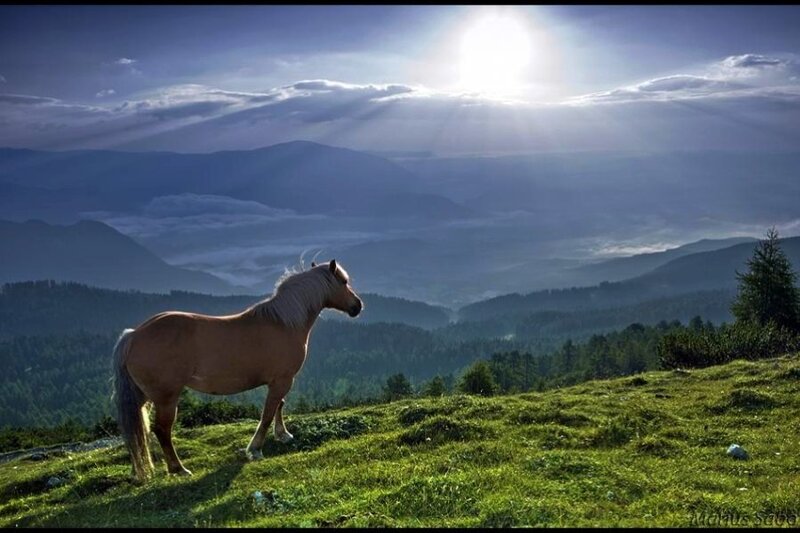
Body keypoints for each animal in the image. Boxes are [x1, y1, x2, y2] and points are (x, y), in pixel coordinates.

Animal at [111, 259, 363, 481]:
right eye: (343, 282)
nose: (358, 306)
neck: (283, 323)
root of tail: (133, 336)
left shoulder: (281, 380)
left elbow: (279, 406)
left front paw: (283, 435)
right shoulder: (282, 380)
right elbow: (268, 413)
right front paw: (256, 449)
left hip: (143, 397)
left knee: (137, 430)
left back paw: (139, 470)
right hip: (166, 398)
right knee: (162, 430)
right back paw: (178, 469)